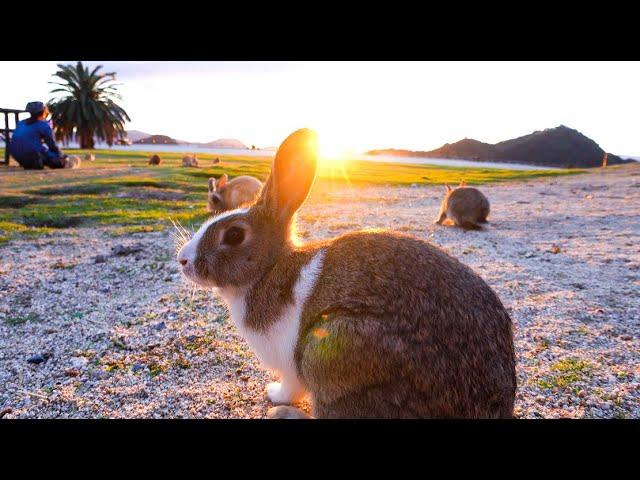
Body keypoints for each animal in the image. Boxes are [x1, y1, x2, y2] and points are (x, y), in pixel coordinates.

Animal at [176, 129, 516, 418]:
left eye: (234, 235)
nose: (183, 260)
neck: (268, 269)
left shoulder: (292, 365)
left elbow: (289, 386)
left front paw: (274, 395)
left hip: (328, 350)